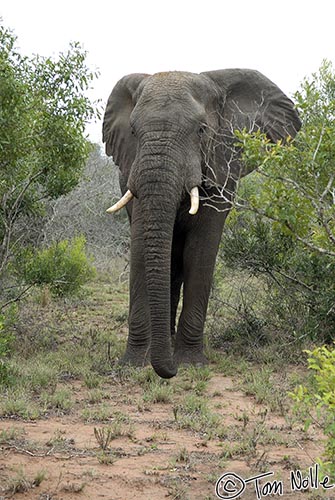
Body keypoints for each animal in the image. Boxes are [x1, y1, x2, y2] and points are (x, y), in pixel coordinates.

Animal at [103, 68, 302, 376]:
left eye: (201, 130)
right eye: (133, 132)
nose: (169, 372)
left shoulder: (222, 168)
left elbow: (200, 252)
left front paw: (190, 363)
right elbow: (140, 251)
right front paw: (134, 363)